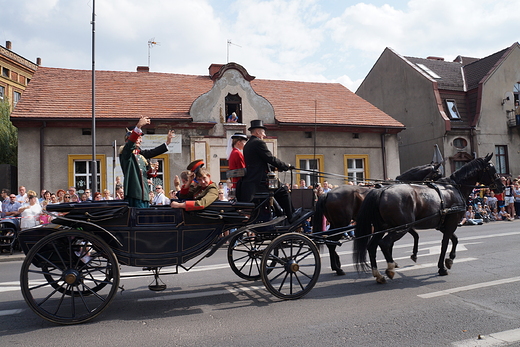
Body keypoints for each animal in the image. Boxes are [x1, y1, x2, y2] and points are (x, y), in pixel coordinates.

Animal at [310, 162, 440, 274]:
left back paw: (336, 265)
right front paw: (398, 260)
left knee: (329, 241)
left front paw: (395, 261)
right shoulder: (401, 224)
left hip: (335, 223)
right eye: (437, 174)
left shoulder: (399, 224)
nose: (438, 189)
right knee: (332, 242)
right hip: (341, 223)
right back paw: (337, 268)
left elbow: (413, 236)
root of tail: (327, 193)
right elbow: (406, 238)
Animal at [354, 154, 504, 284]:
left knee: (372, 246)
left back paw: (379, 275)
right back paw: (390, 268)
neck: (454, 188)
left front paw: (449, 260)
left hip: (382, 228)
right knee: (385, 244)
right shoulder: (451, 224)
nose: (501, 186)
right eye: (492, 169)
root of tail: (381, 191)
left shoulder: (443, 225)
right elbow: (445, 244)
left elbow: (454, 240)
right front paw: (442, 267)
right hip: (400, 228)